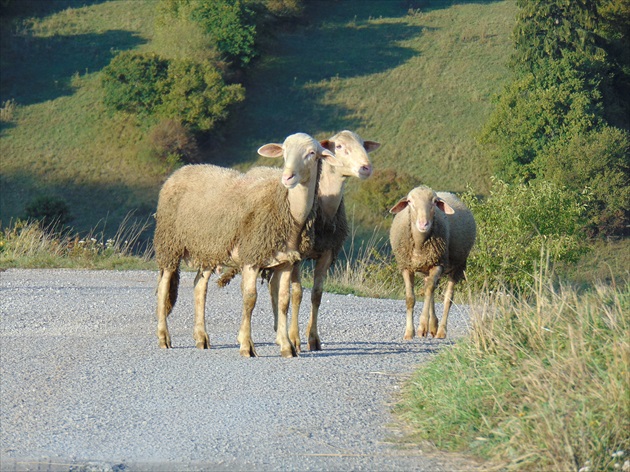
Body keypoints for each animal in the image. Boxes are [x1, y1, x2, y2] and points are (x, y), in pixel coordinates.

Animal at [153, 133, 340, 358]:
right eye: (284, 151)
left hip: (209, 248)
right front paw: (246, 347)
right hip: (170, 243)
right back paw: (163, 337)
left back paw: (201, 338)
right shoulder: (252, 255)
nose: (287, 177)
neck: (287, 209)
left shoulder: (286, 262)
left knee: (199, 286)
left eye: (311, 153)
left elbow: (283, 301)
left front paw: (287, 347)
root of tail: (180, 171)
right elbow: (250, 299)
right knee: (164, 287)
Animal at [388, 184, 476, 340]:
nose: (424, 224)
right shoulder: (406, 266)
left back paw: (440, 331)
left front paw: (422, 327)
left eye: (435, 202)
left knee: (447, 298)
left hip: (457, 266)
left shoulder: (438, 264)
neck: (419, 243)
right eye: (409, 201)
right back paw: (433, 326)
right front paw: (409, 332)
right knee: (432, 289)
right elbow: (410, 298)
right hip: (427, 268)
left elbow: (429, 292)